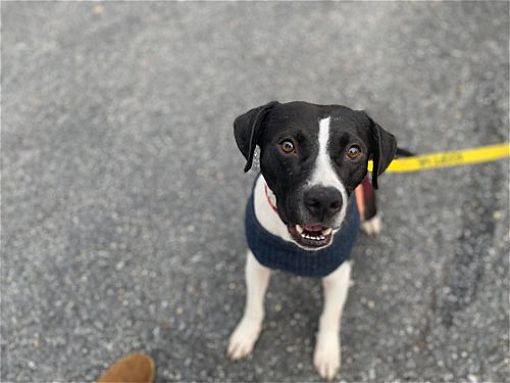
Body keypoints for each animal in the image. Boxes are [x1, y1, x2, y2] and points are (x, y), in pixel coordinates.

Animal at [228, 101, 398, 380]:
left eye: (354, 151)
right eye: (287, 146)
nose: (325, 200)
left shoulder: (339, 275)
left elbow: (330, 316)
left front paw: (327, 353)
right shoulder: (257, 263)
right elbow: (254, 305)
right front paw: (245, 334)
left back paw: (371, 221)